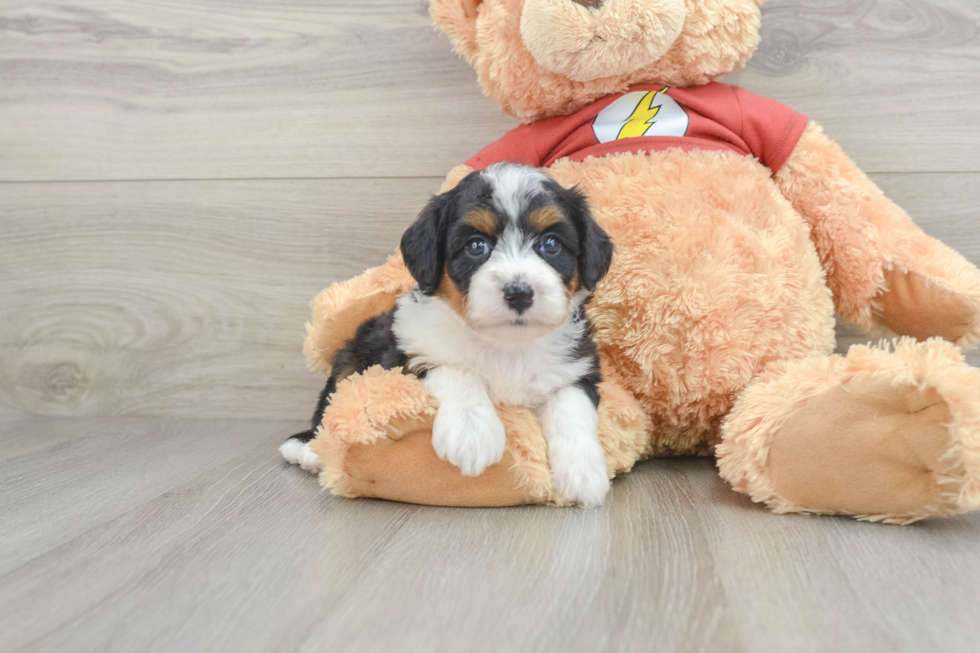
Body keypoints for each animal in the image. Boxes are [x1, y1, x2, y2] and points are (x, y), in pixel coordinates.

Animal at [280, 162, 612, 504]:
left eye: (551, 244)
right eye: (476, 246)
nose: (519, 293)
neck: (505, 345)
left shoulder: (578, 366)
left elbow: (571, 406)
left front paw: (583, 472)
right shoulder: (408, 348)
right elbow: (456, 370)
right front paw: (472, 433)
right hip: (350, 357)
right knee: (328, 407)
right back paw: (308, 449)